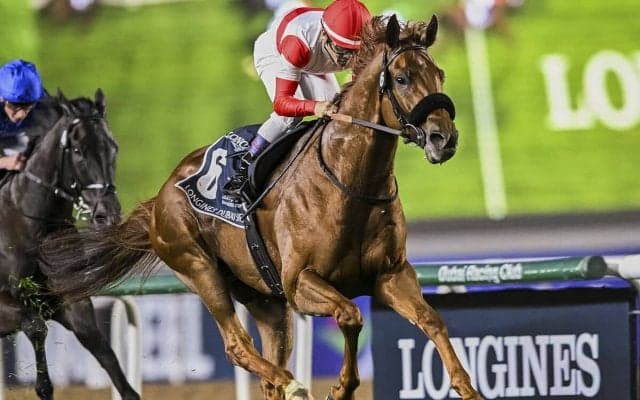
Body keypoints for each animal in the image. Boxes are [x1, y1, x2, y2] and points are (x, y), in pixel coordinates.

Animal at [0, 91, 140, 400]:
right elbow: (36, 326)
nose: (107, 214)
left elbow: (106, 355)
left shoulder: (74, 302)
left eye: (113, 147)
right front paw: (43, 386)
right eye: (78, 151)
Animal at [40, 15, 482, 400]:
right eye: (403, 78)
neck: (351, 183)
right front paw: (341, 387)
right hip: (199, 268)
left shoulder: (390, 275)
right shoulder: (300, 282)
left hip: (265, 299)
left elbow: (432, 320)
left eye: (440, 74)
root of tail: (160, 196)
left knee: (266, 364)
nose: (444, 138)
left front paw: (468, 388)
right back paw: (292, 382)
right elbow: (350, 316)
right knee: (238, 346)